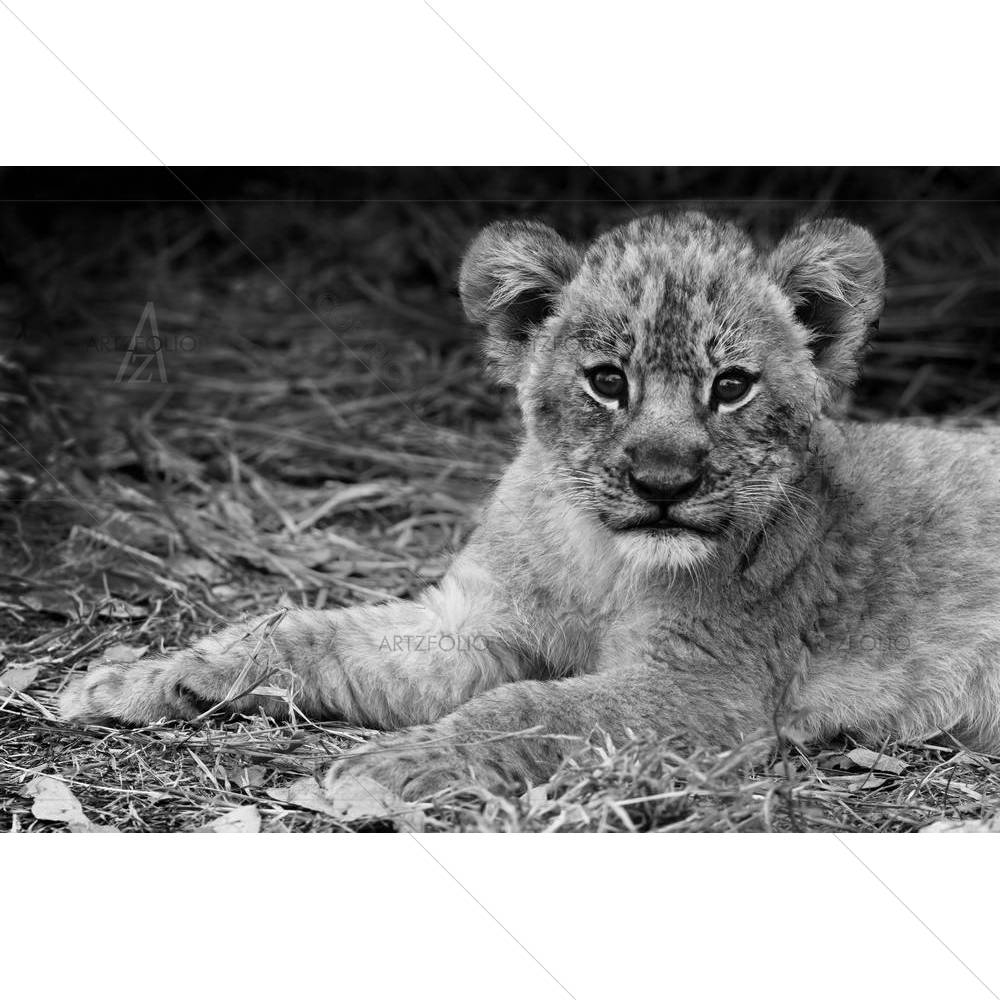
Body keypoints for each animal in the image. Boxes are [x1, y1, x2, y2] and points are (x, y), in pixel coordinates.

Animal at [60, 211, 1000, 800]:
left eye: (731, 387)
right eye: (607, 381)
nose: (664, 484)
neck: (601, 559)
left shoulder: (707, 688)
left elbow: (528, 708)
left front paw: (395, 766)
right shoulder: (472, 621)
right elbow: (307, 633)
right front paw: (141, 679)